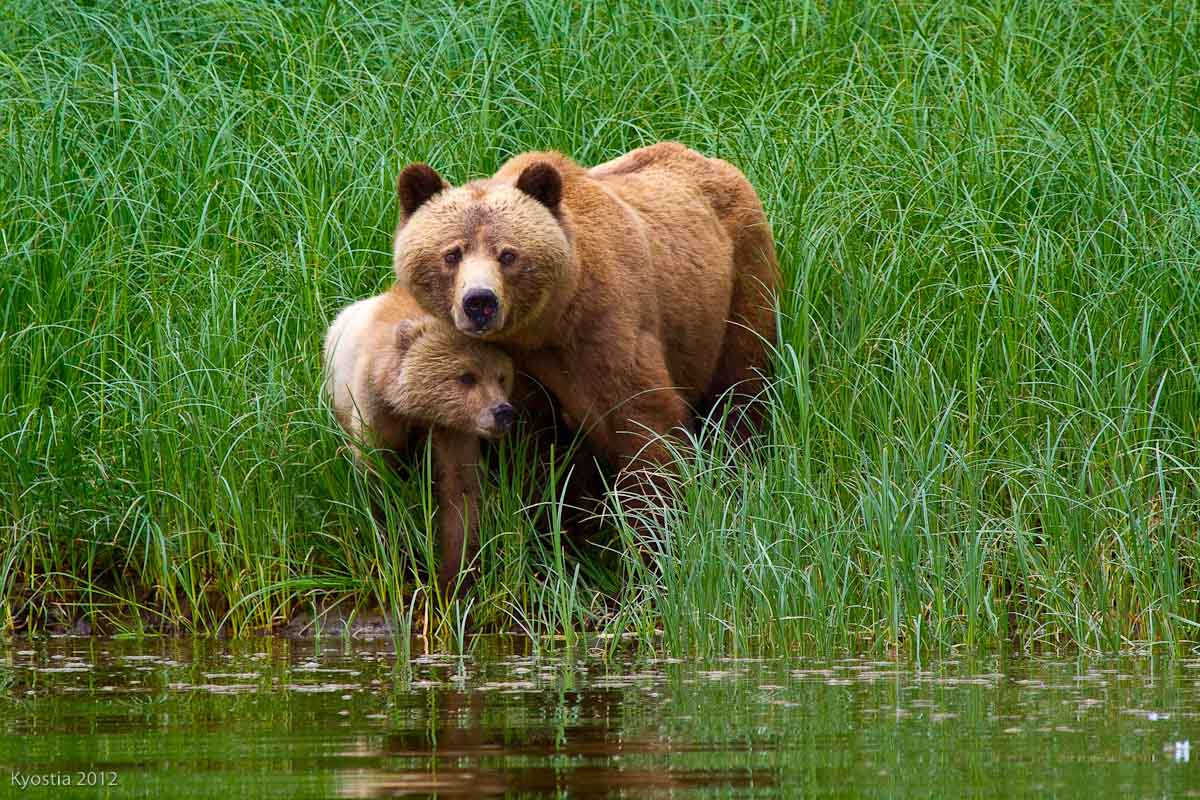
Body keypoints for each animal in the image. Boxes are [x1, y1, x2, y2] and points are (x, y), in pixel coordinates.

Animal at [386, 144, 777, 525]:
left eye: (508, 254)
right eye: (452, 253)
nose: (480, 301)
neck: (544, 329)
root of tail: (711, 160)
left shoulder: (604, 330)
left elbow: (646, 426)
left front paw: (652, 526)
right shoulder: (518, 372)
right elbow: (544, 459)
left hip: (738, 285)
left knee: (741, 385)